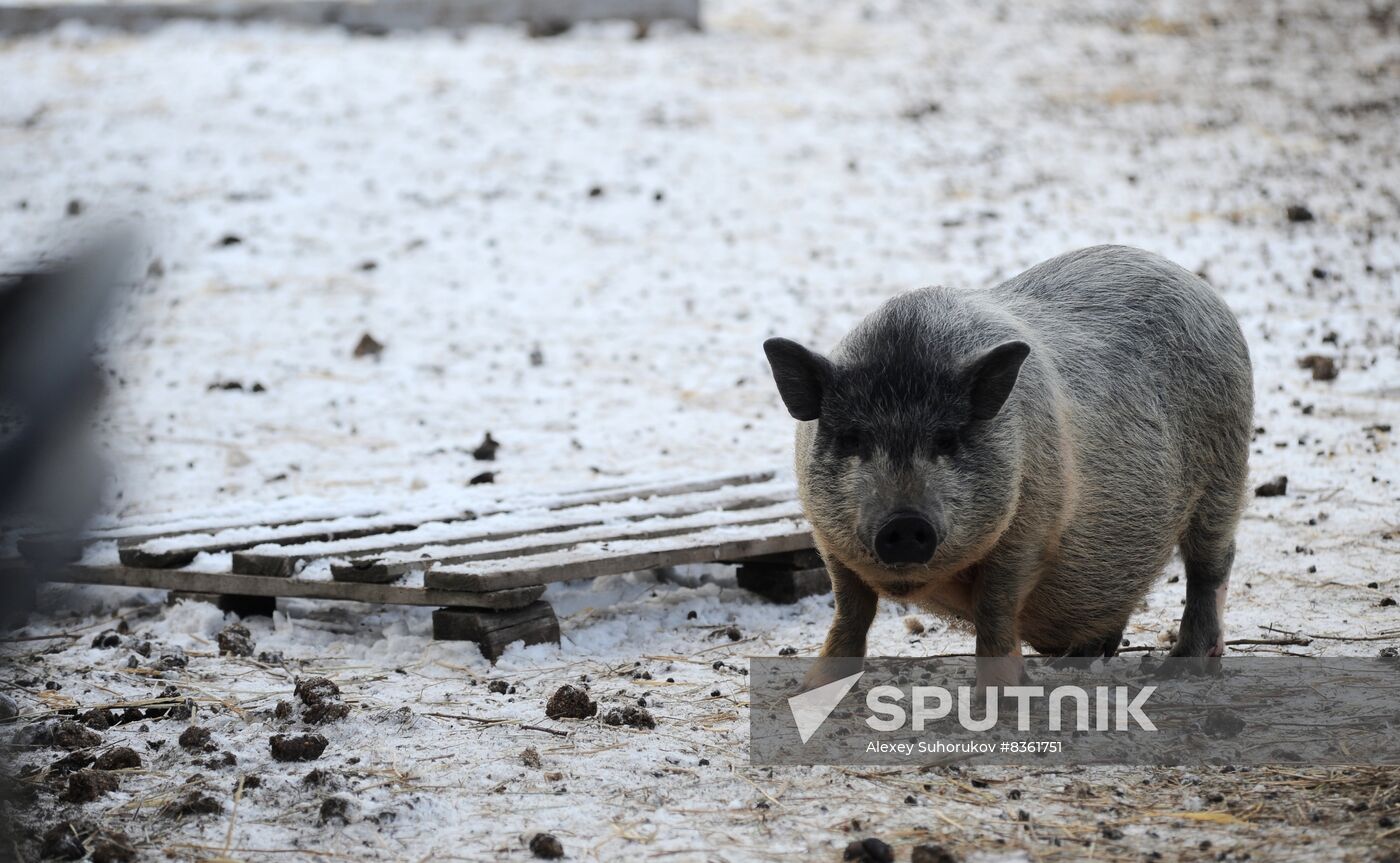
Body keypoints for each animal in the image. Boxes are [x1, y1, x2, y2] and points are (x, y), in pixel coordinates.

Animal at [767, 242, 1260, 680]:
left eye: (947, 439)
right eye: (853, 439)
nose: (904, 522)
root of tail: (1199, 285)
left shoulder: (1033, 528)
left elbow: (996, 610)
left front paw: (1000, 696)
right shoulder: (827, 539)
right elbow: (850, 611)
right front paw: (814, 688)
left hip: (1225, 467)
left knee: (1212, 563)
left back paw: (1181, 667)